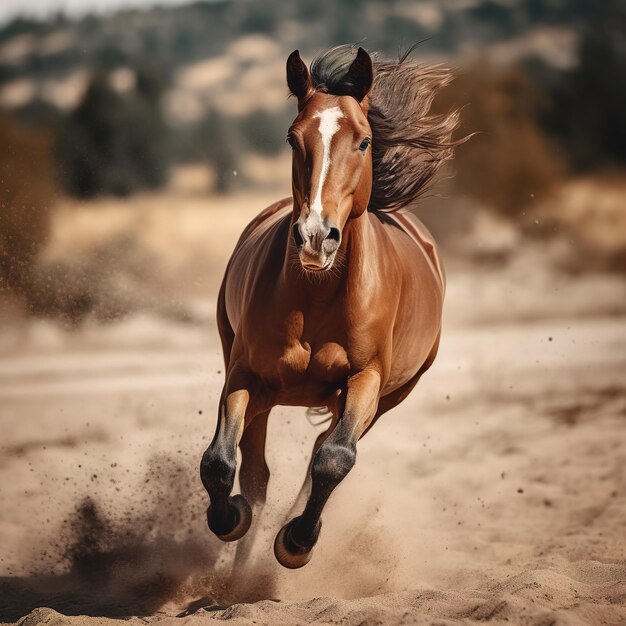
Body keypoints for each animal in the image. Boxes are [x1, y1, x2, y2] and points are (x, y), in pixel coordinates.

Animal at [200, 46, 458, 568]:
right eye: (292, 137)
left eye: (363, 141)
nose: (316, 236)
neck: (318, 297)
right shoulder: (243, 372)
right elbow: (219, 460)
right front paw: (231, 516)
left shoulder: (366, 379)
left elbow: (335, 459)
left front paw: (296, 541)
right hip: (260, 384)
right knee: (256, 472)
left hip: (385, 397)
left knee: (324, 450)